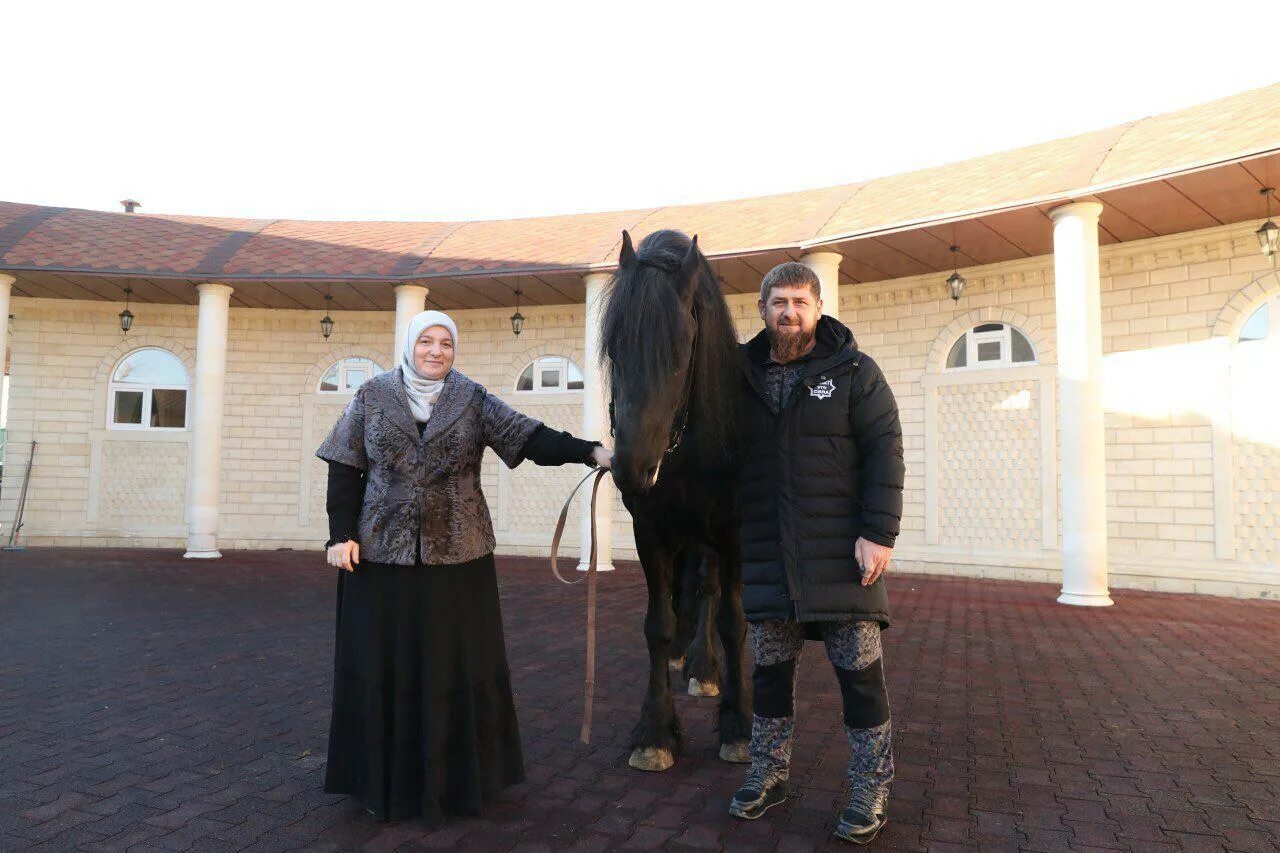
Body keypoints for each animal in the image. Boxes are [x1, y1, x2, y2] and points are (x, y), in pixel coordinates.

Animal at [599, 227, 747, 768]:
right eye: (613, 344)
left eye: (682, 347)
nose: (632, 468)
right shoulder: (652, 532)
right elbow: (657, 625)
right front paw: (655, 731)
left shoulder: (732, 534)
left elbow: (732, 620)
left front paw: (738, 725)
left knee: (709, 589)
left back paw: (704, 666)